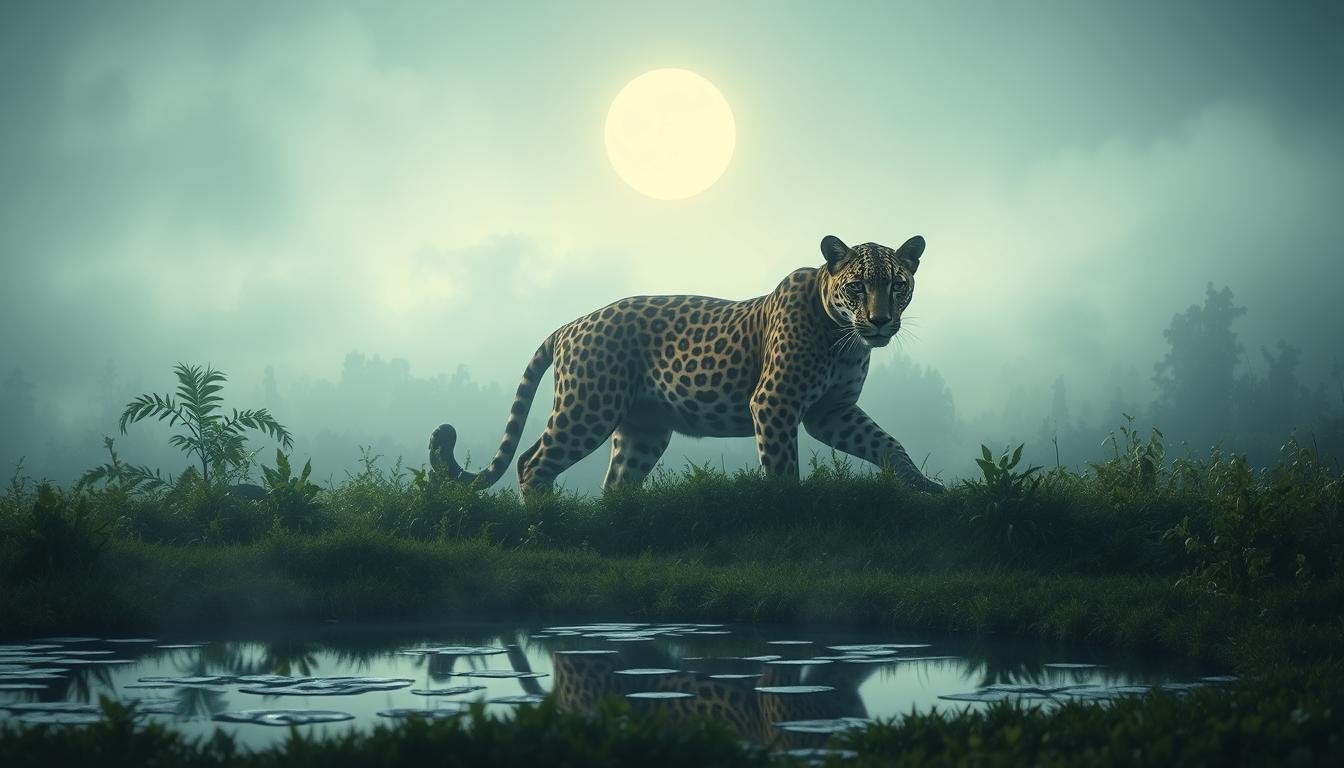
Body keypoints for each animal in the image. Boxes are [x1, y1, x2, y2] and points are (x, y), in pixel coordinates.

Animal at [430, 234, 944, 495]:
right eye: (857, 286)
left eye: (898, 285)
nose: (880, 321)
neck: (843, 340)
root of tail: (571, 323)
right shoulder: (774, 403)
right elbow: (783, 468)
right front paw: (789, 511)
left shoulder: (831, 412)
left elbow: (887, 443)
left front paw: (924, 486)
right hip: (588, 407)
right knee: (531, 461)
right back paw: (545, 525)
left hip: (644, 428)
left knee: (616, 484)